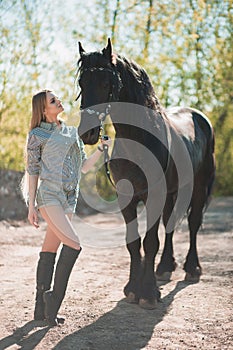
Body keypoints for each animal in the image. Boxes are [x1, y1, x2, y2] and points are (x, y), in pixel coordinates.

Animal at [76, 38, 215, 308]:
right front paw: (132, 288)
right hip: (172, 193)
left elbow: (150, 242)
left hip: (198, 187)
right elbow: (133, 243)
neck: (139, 140)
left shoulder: (154, 196)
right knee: (171, 223)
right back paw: (165, 267)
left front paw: (148, 293)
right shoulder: (126, 199)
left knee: (193, 224)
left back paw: (192, 268)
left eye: (107, 83)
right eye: (81, 82)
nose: (87, 132)